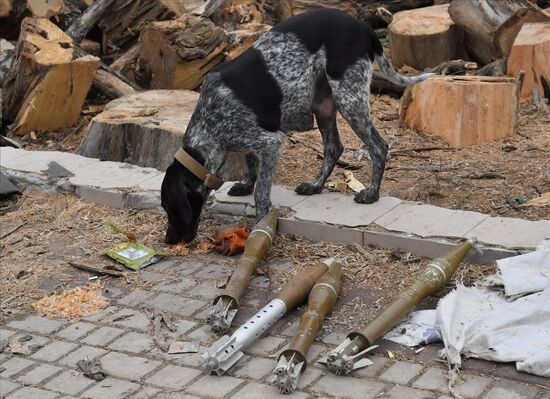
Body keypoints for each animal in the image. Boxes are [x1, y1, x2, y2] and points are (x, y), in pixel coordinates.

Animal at [163, 9, 436, 245]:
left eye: (170, 208)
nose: (168, 240)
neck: (209, 122)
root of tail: (363, 25)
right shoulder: (250, 141)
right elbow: (250, 164)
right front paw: (245, 184)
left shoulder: (270, 143)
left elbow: (261, 192)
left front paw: (260, 220)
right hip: (323, 105)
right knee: (334, 148)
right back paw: (316, 185)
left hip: (349, 98)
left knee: (378, 146)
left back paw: (371, 193)